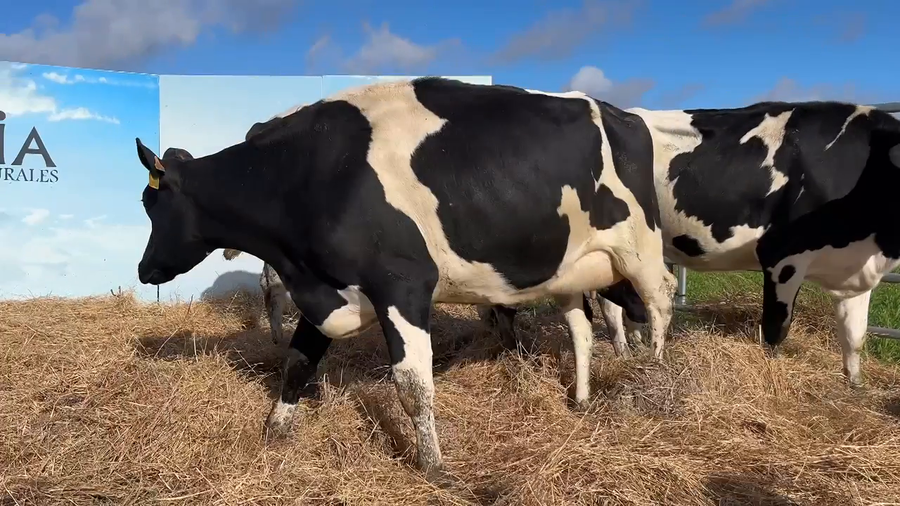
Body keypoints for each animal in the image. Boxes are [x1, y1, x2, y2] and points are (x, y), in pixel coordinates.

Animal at [132, 77, 676, 479]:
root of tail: (623, 113)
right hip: (569, 270)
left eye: (148, 201)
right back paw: (580, 400)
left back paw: (654, 376)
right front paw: (275, 430)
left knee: (660, 306)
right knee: (582, 330)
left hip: (642, 252)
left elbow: (413, 385)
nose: (143, 268)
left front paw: (432, 466)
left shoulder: (402, 285)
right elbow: (297, 365)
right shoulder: (324, 288)